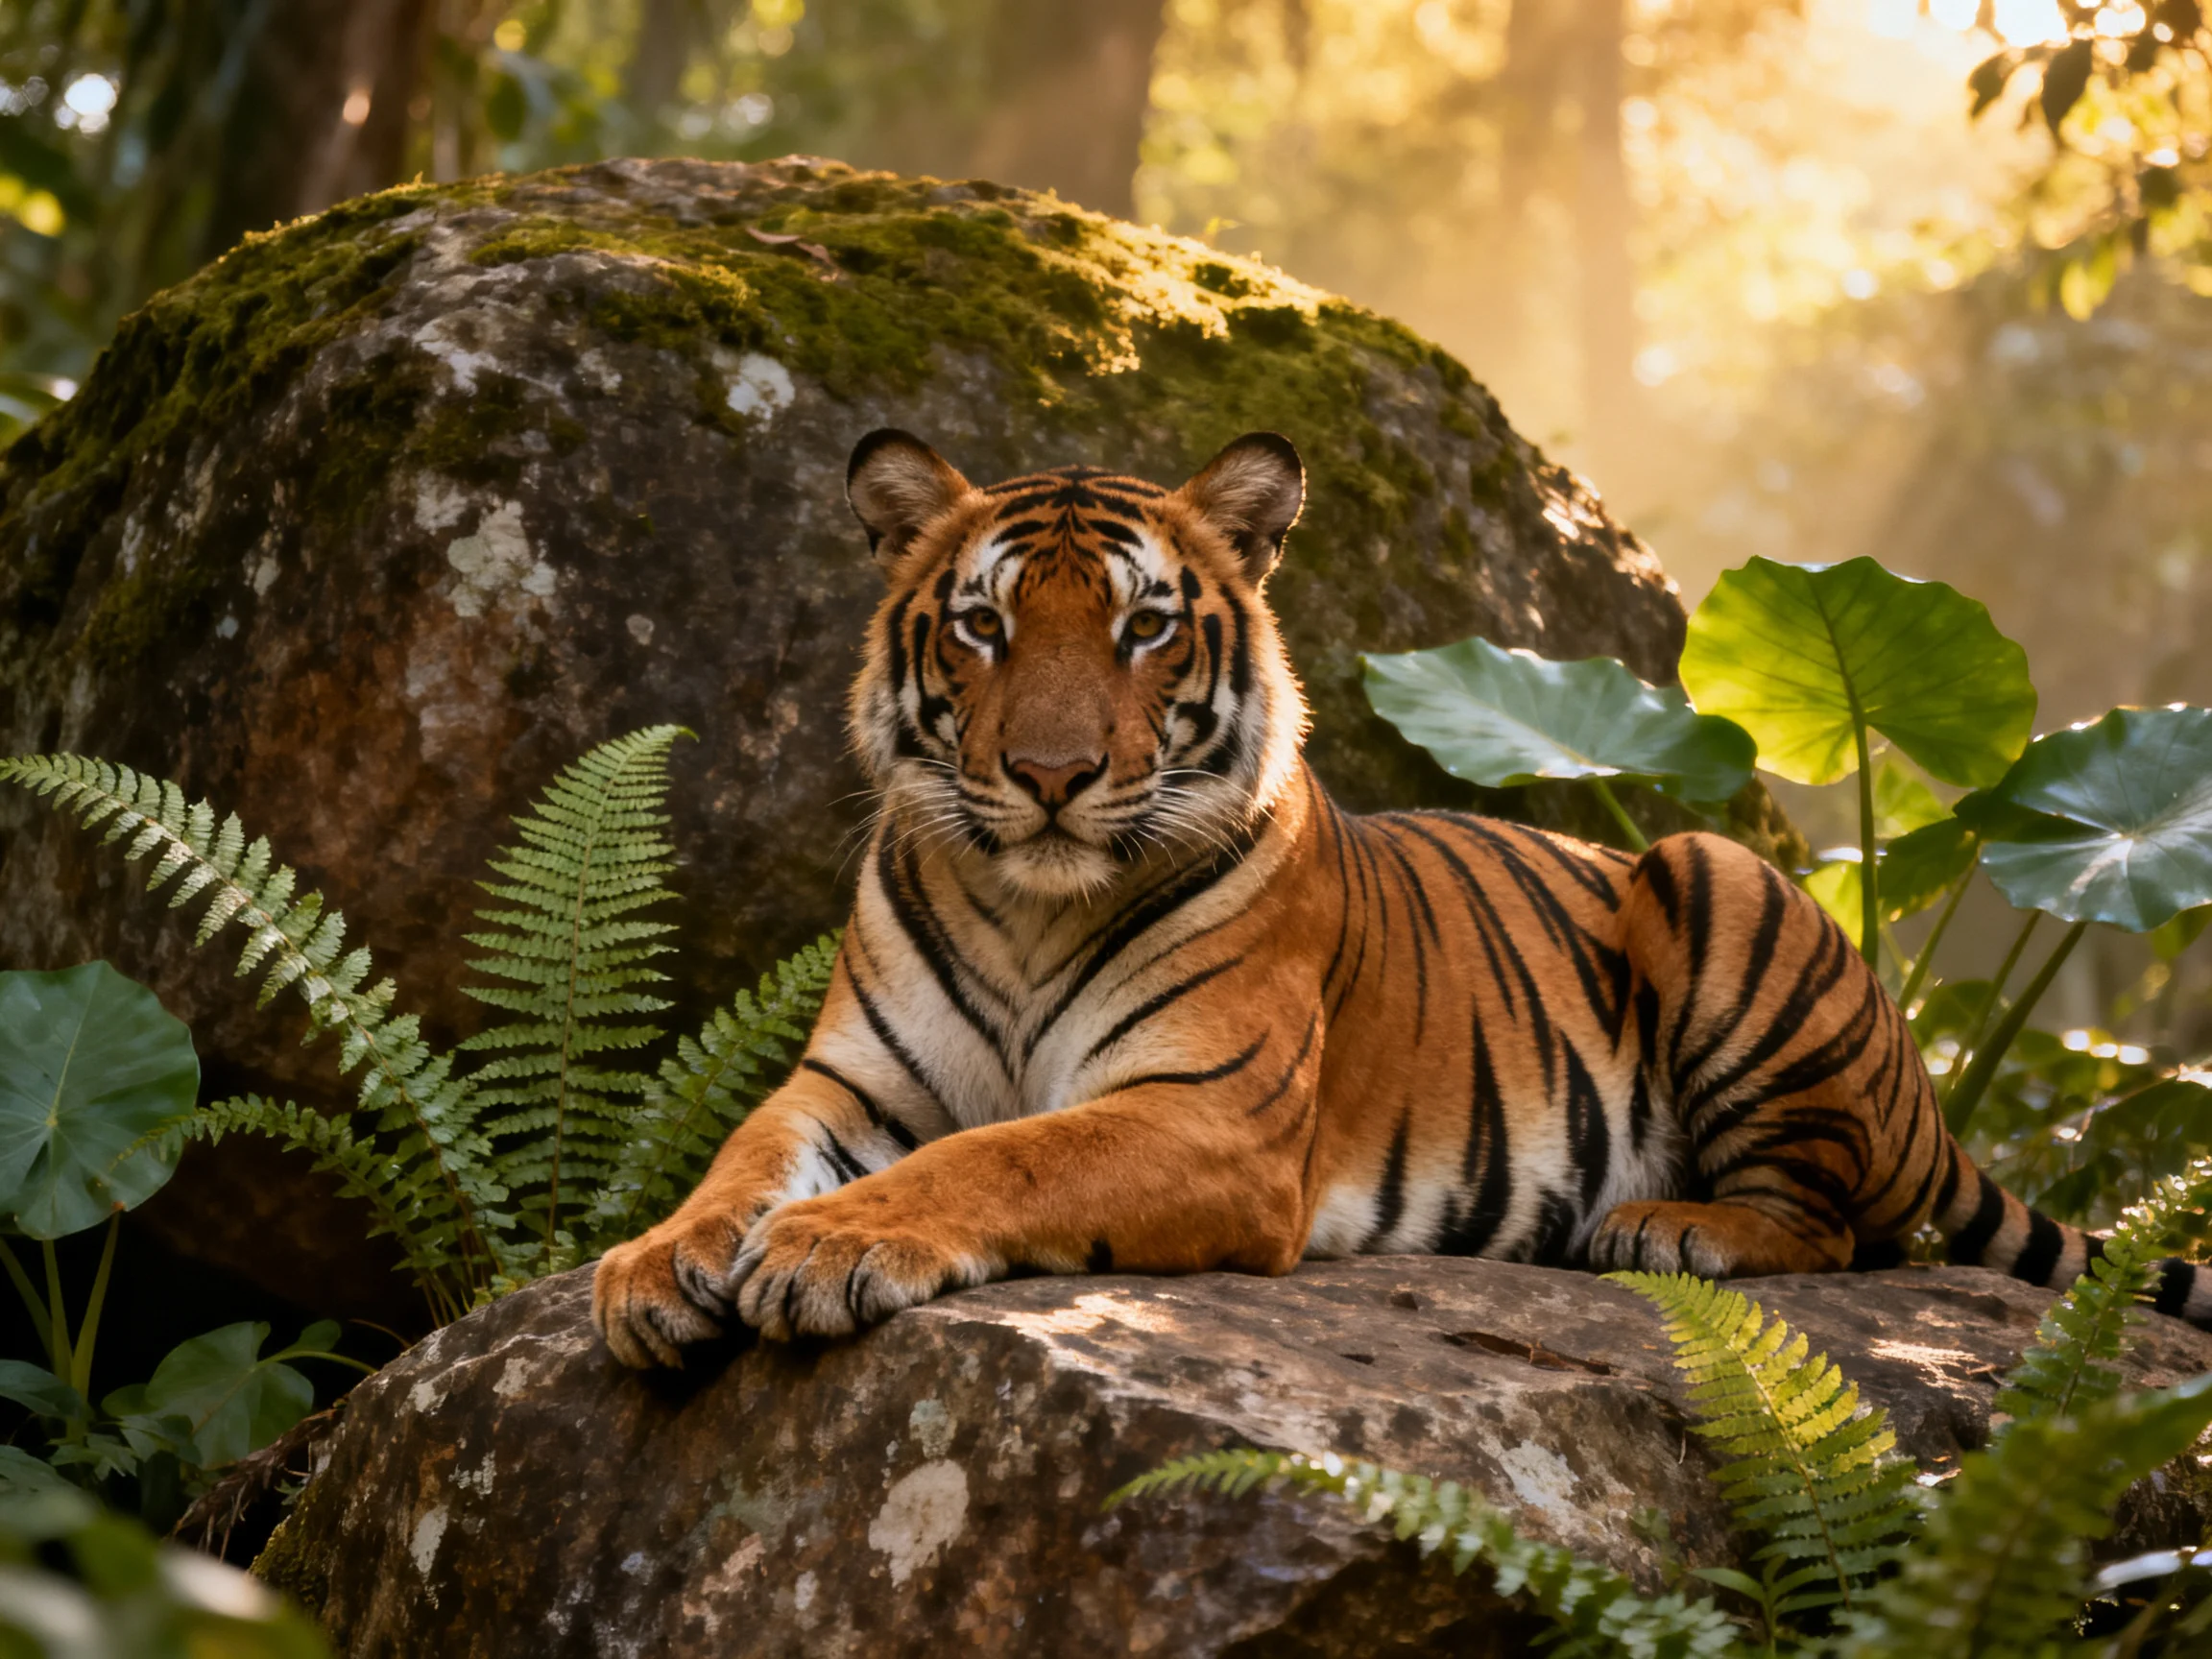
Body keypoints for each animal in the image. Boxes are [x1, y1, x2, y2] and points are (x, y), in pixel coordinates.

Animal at [591, 429, 2212, 1368]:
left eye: (1145, 627)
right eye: (983, 626)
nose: (1052, 774)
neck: (1032, 903)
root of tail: (1931, 1095)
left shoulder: (1209, 1112)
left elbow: (1007, 1156)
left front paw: (833, 1247)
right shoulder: (850, 1084)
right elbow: (742, 1155)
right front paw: (657, 1266)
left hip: (1716, 874)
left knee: (1837, 1229)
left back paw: (1671, 1229)